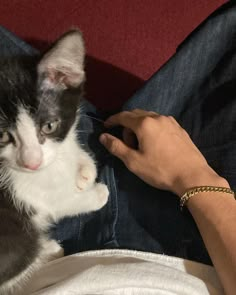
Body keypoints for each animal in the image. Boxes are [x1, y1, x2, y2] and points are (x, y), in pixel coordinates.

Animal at [0, 30, 109, 295]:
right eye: (2, 136)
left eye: (49, 126)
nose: (31, 163)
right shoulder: (27, 192)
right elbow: (63, 202)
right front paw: (97, 193)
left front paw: (84, 170)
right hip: (18, 240)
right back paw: (46, 250)